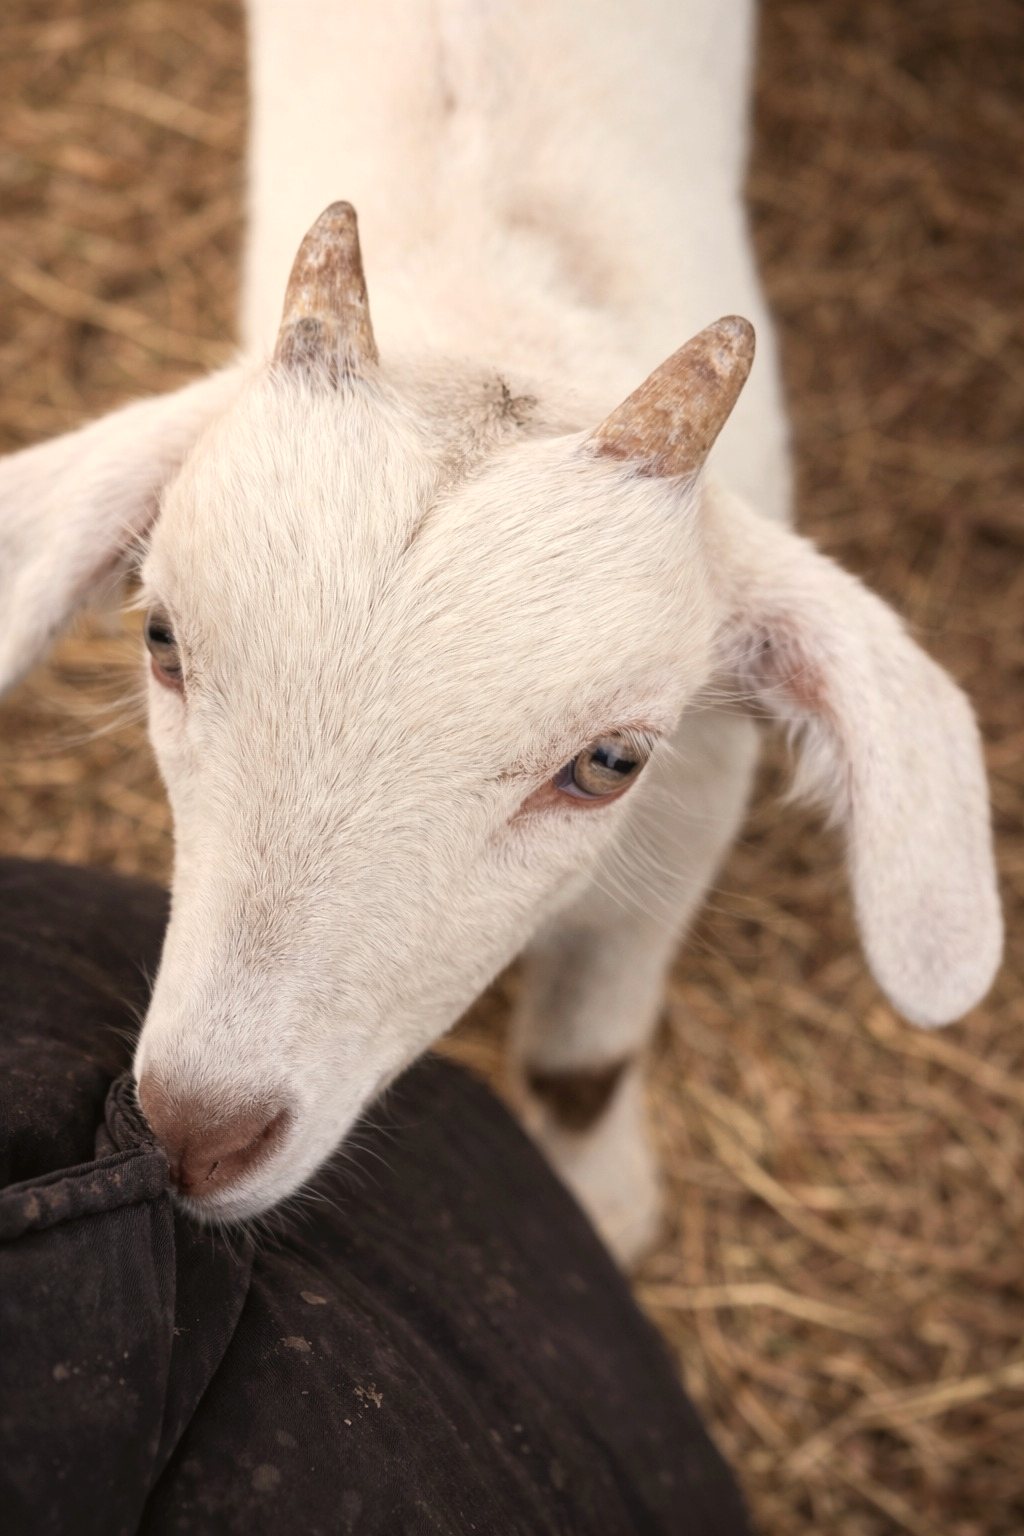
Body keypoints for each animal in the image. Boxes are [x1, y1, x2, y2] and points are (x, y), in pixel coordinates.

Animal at [0, 0, 1001, 1260]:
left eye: (608, 762)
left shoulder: (690, 800)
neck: (505, 317)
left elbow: (585, 1057)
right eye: (163, 642)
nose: (194, 1135)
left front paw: (605, 1209)